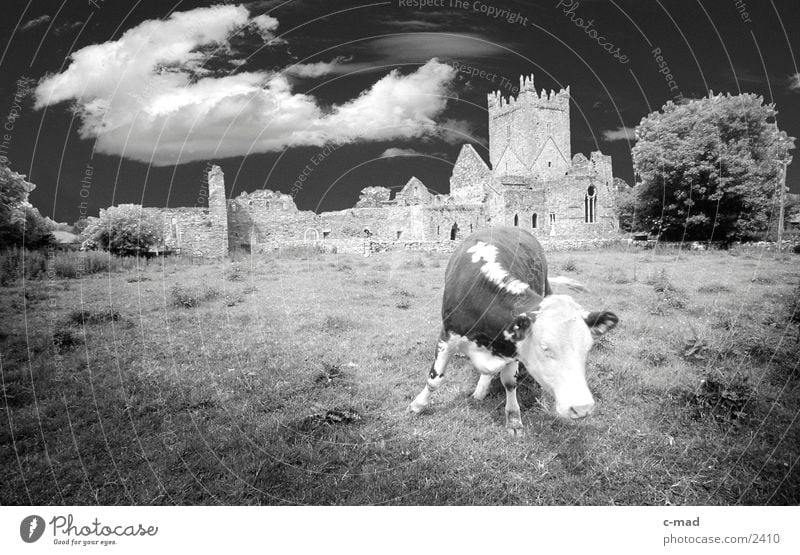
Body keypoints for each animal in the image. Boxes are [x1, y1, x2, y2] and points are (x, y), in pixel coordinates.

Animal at [406, 226, 620, 434]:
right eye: (545, 348)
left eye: (587, 349)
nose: (582, 407)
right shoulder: (447, 336)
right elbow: (434, 379)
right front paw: (417, 405)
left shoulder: (512, 347)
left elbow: (509, 382)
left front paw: (514, 418)